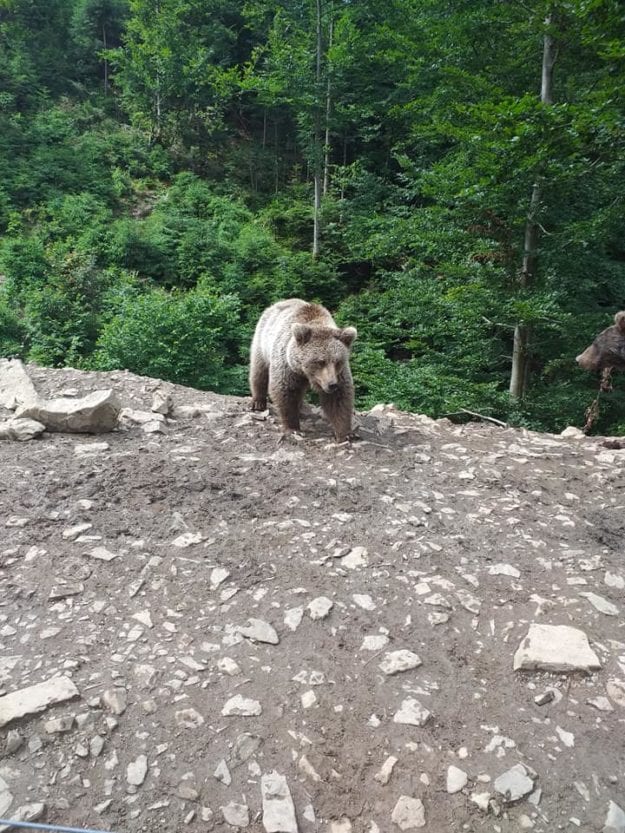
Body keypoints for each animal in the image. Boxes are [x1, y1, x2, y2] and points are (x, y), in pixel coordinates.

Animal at [249, 300, 356, 442]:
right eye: (320, 361)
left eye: (338, 361)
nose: (332, 384)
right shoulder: (286, 365)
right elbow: (285, 390)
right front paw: (293, 428)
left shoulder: (339, 374)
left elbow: (339, 398)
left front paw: (346, 433)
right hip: (263, 340)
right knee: (259, 370)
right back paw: (258, 402)